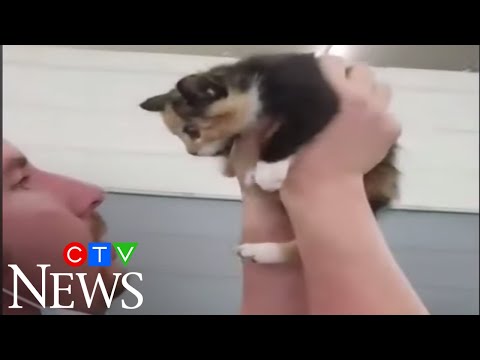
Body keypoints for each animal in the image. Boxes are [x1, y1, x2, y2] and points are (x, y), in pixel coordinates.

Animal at [138, 53, 398, 266]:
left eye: (192, 131)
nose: (192, 153)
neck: (252, 82)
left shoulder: (317, 95)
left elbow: (292, 130)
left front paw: (268, 171)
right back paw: (262, 252)